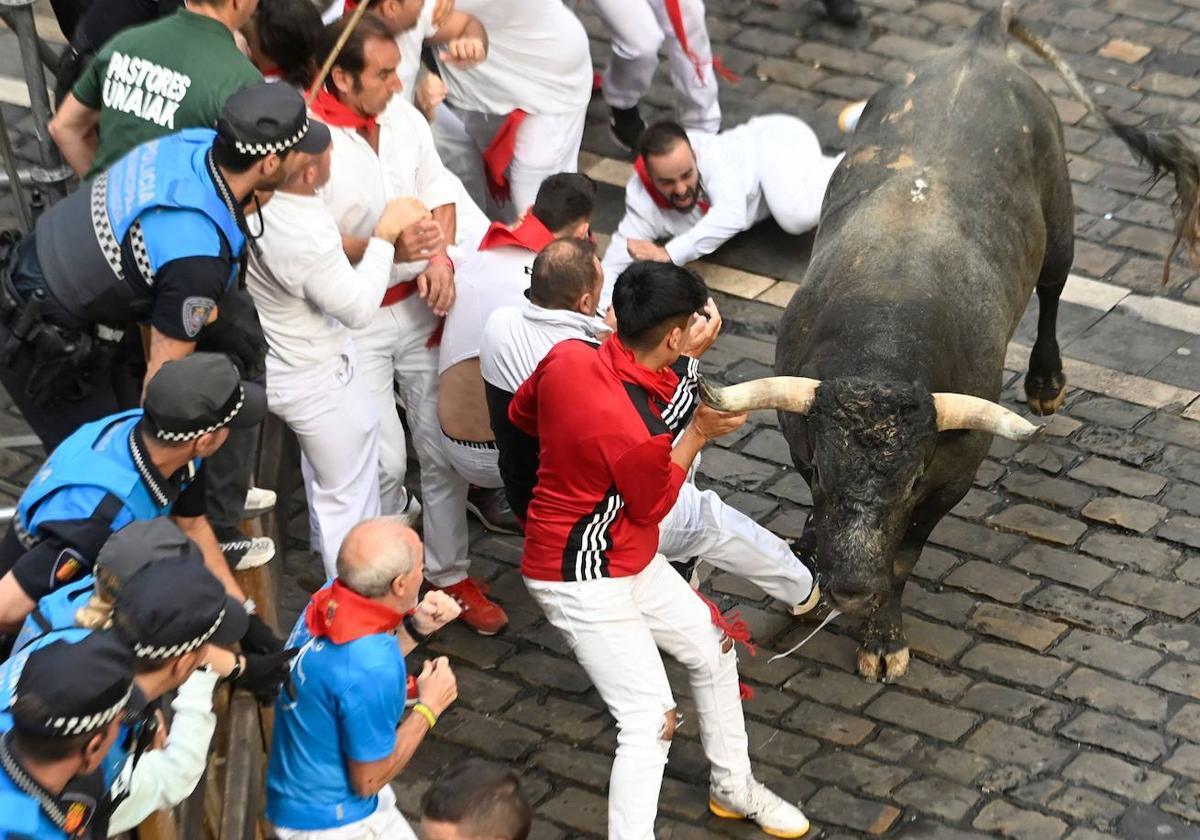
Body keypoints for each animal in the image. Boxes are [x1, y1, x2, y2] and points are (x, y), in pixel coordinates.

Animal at [700, 1, 1200, 681]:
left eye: (912, 481)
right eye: (824, 471)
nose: (851, 589)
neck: (883, 344)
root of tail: (979, 43)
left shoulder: (952, 477)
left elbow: (904, 557)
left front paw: (883, 638)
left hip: (1062, 222)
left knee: (1053, 288)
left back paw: (1045, 382)